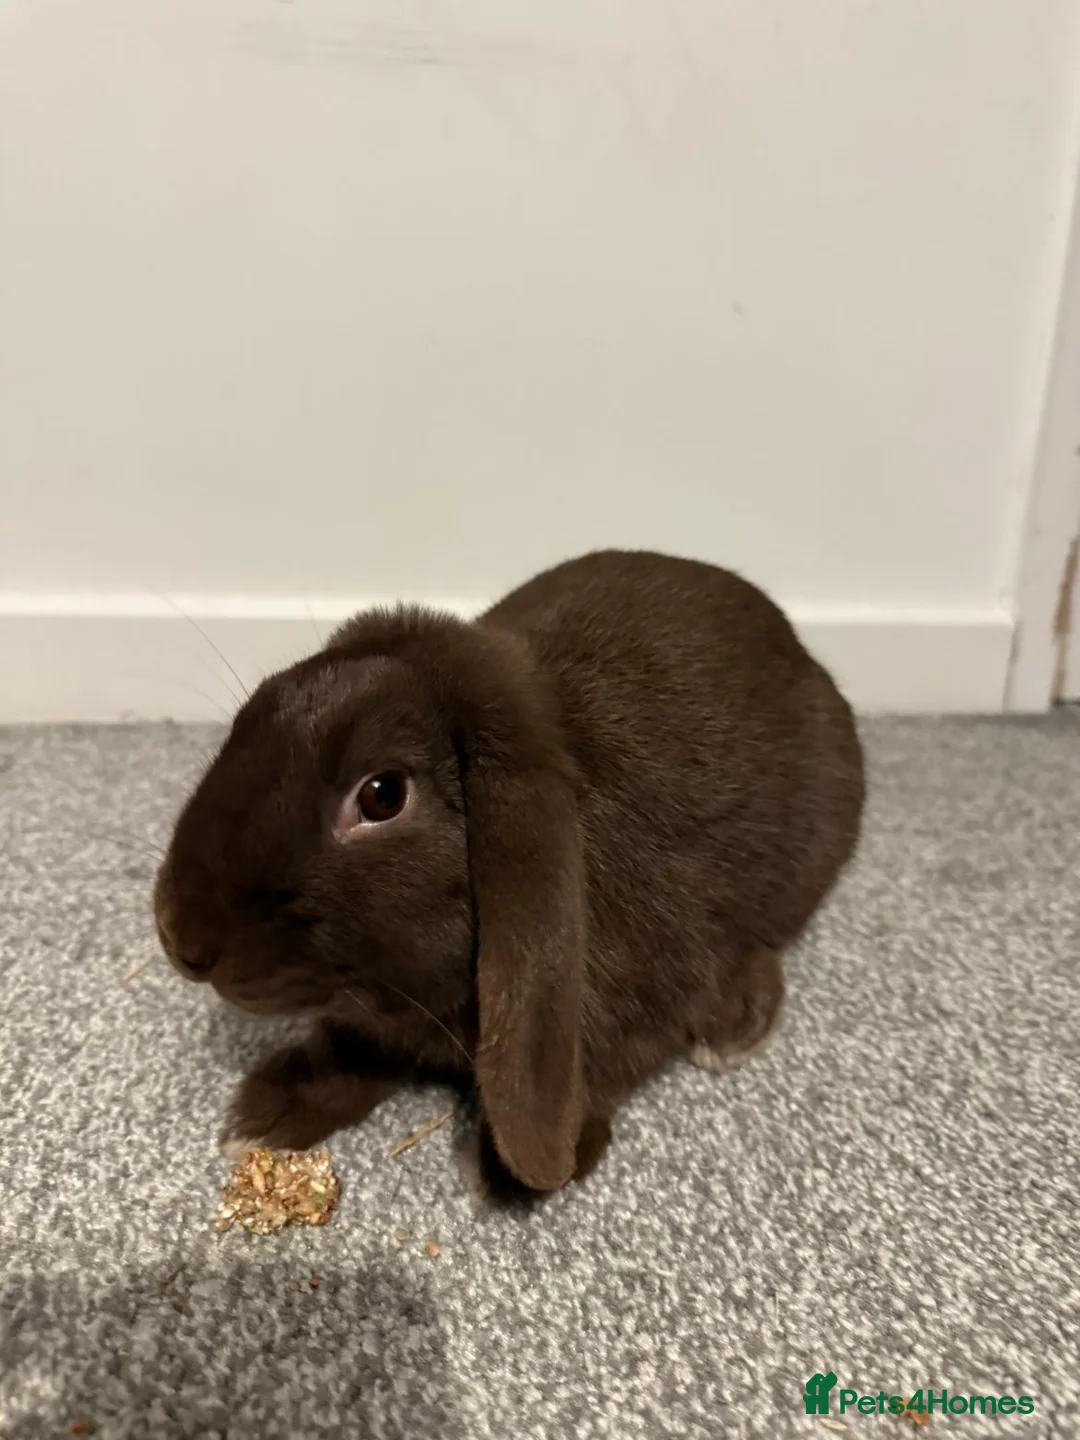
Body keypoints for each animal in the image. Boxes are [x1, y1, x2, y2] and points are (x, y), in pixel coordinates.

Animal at [154, 549, 865, 1193]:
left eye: (383, 795)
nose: (180, 939)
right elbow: (351, 1051)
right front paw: (265, 1115)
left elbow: (608, 1068)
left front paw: (515, 1168)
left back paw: (737, 1025)